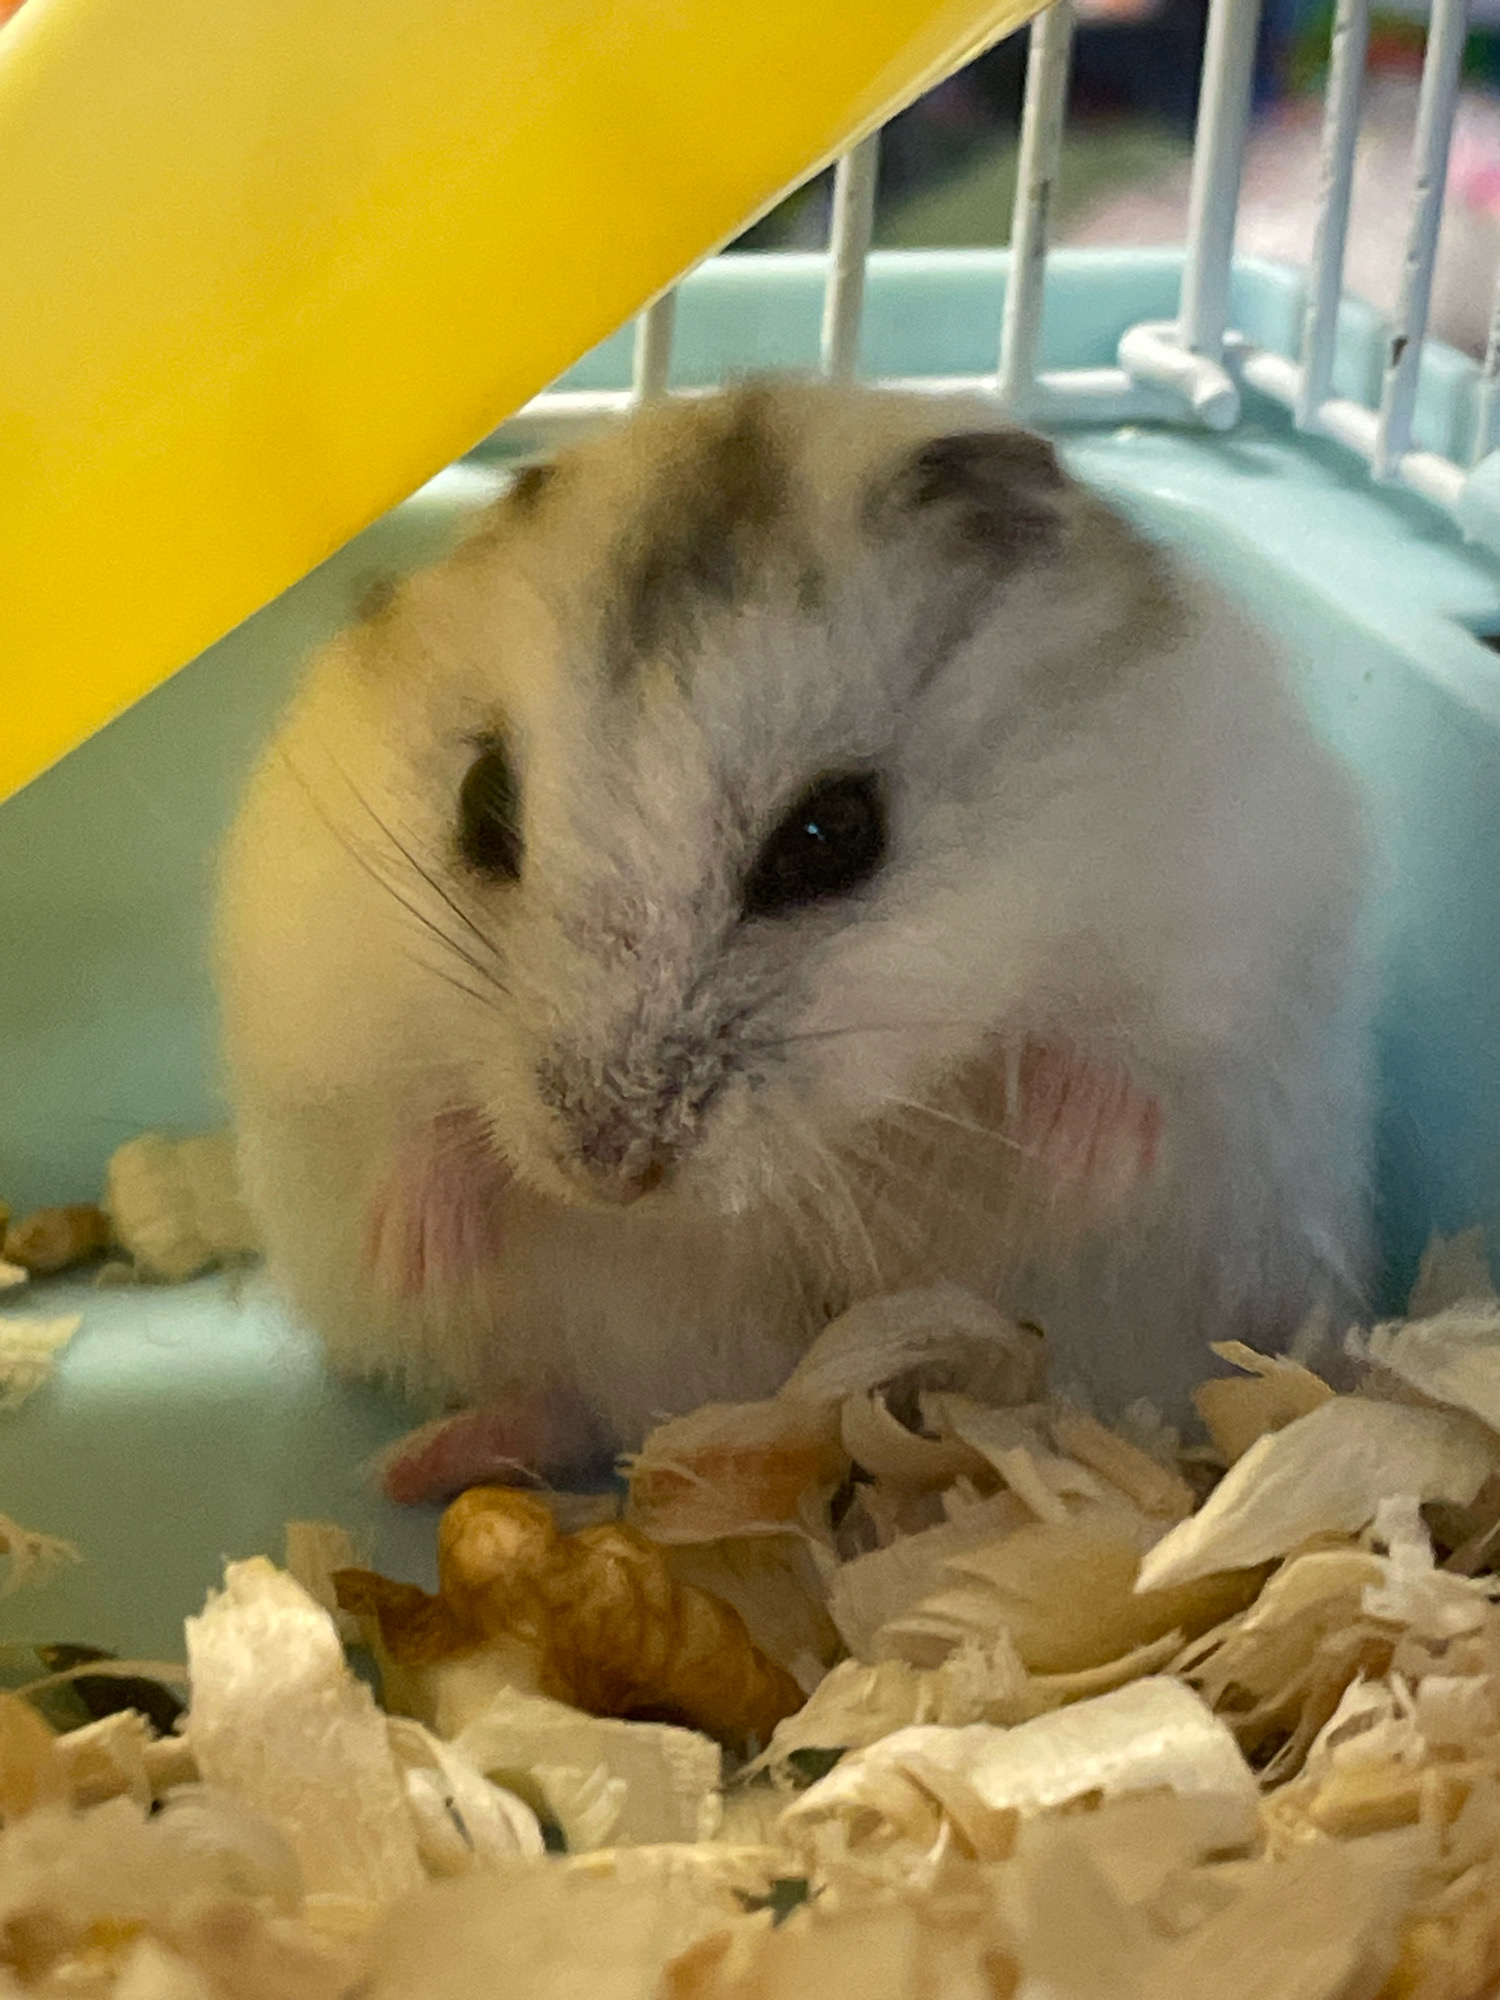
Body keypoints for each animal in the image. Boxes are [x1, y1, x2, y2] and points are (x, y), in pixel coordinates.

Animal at [216, 378, 1371, 1499]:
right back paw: (420, 1463)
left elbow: (1130, 1060)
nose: (609, 1172)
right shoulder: (321, 977)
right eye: (480, 803)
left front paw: (1077, 1149)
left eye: (834, 833)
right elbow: (412, 1109)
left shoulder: (1219, 921)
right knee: (562, 1406)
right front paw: (415, 1246)